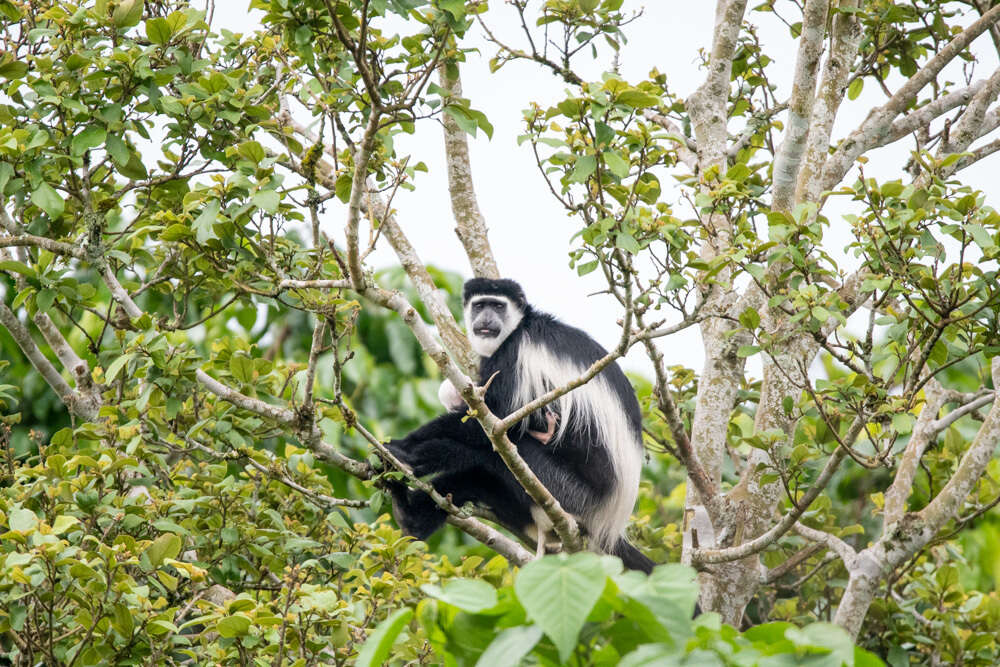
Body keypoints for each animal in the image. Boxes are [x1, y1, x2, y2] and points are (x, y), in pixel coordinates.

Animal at [384, 276, 656, 576]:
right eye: (479, 305)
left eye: (497, 306)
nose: (486, 319)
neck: (519, 327)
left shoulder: (515, 355)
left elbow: (495, 421)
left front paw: (402, 447)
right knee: (475, 478)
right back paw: (408, 516)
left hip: (567, 493)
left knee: (493, 452)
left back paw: (422, 460)